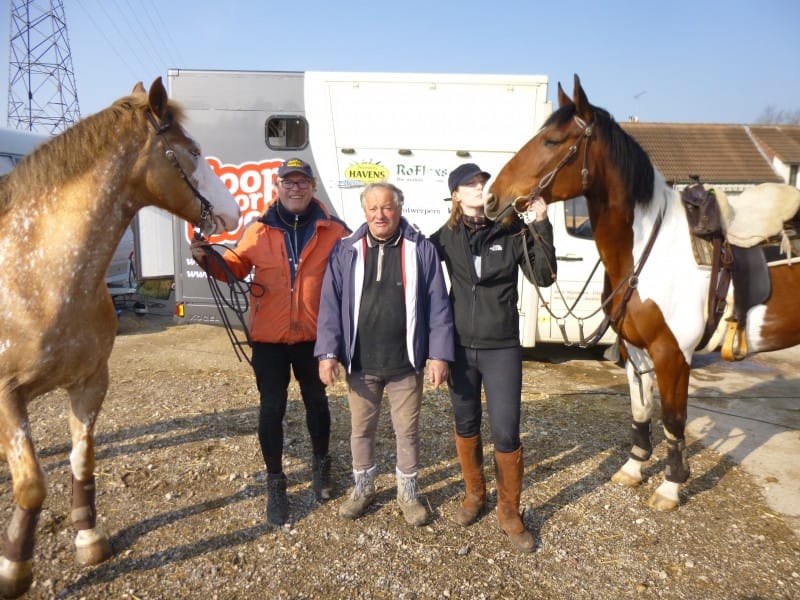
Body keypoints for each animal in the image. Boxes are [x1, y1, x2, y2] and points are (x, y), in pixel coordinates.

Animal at [0, 78, 239, 596]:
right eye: (192, 151)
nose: (233, 214)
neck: (39, 279)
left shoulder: (90, 383)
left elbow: (82, 461)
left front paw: (88, 537)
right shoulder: (6, 396)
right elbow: (31, 484)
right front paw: (14, 566)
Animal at [484, 75, 800, 512]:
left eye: (552, 141)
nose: (491, 198)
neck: (648, 251)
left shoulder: (672, 354)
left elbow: (673, 419)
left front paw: (670, 486)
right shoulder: (635, 350)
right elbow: (640, 408)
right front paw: (634, 468)